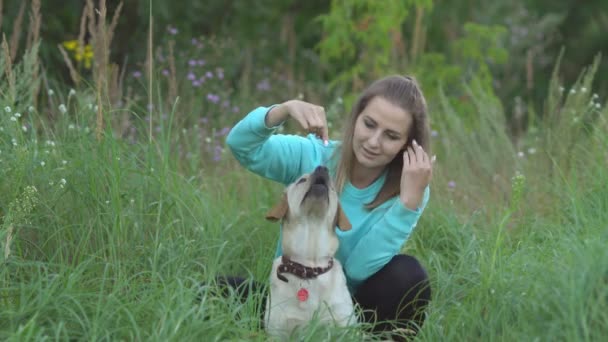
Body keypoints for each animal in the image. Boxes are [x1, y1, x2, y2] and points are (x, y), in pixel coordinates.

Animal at [262, 165, 356, 336]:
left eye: (332, 187)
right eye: (301, 180)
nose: (322, 168)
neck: (309, 265)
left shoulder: (345, 326)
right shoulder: (277, 331)